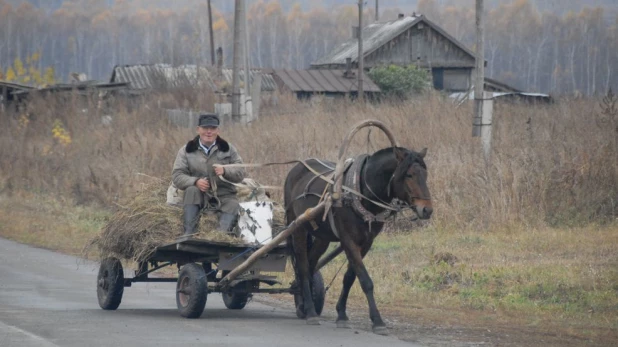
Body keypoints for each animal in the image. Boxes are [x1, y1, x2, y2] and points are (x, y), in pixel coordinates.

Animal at [282, 145, 430, 336]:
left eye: (425, 174)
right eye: (409, 175)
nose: (427, 210)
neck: (360, 194)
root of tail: (297, 168)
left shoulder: (366, 242)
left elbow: (350, 277)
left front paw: (342, 314)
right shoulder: (348, 240)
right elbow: (365, 280)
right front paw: (377, 320)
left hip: (322, 236)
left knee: (311, 265)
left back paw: (302, 304)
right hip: (298, 227)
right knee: (303, 267)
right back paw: (310, 311)